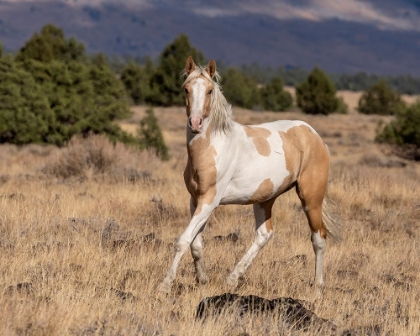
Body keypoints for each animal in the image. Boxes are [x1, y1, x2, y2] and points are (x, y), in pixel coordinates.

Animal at [158, 56, 342, 292]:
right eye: (186, 89)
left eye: (209, 90)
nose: (195, 123)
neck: (212, 147)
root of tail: (315, 136)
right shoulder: (195, 199)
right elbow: (195, 243)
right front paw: (202, 280)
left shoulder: (210, 200)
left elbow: (183, 241)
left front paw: (164, 286)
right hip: (265, 199)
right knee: (264, 234)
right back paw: (232, 278)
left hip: (311, 198)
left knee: (319, 237)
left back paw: (318, 287)